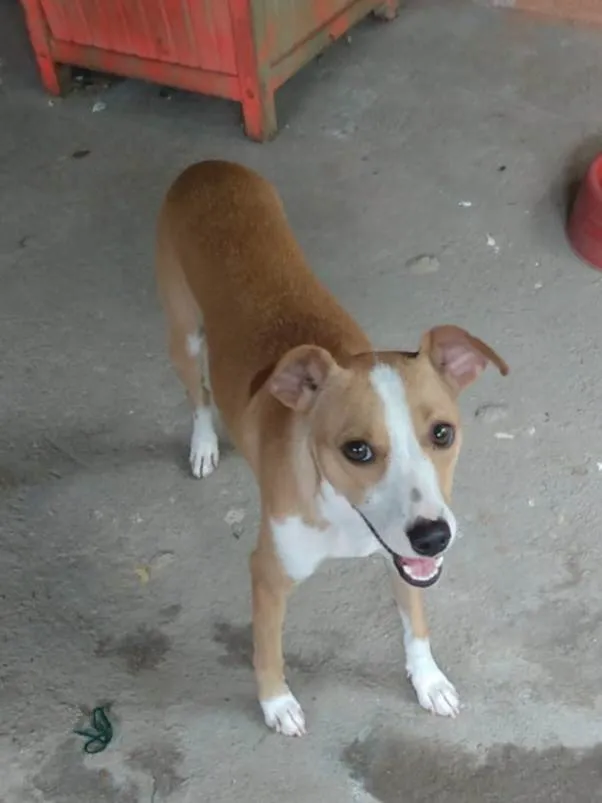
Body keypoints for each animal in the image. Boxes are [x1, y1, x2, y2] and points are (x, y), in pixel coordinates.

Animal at [156, 160, 508, 736]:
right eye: (357, 450)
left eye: (443, 434)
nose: (434, 537)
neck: (344, 516)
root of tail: (207, 166)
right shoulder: (268, 575)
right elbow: (267, 650)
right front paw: (277, 704)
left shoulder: (404, 560)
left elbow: (416, 623)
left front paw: (429, 681)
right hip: (183, 332)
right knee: (198, 393)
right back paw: (204, 443)